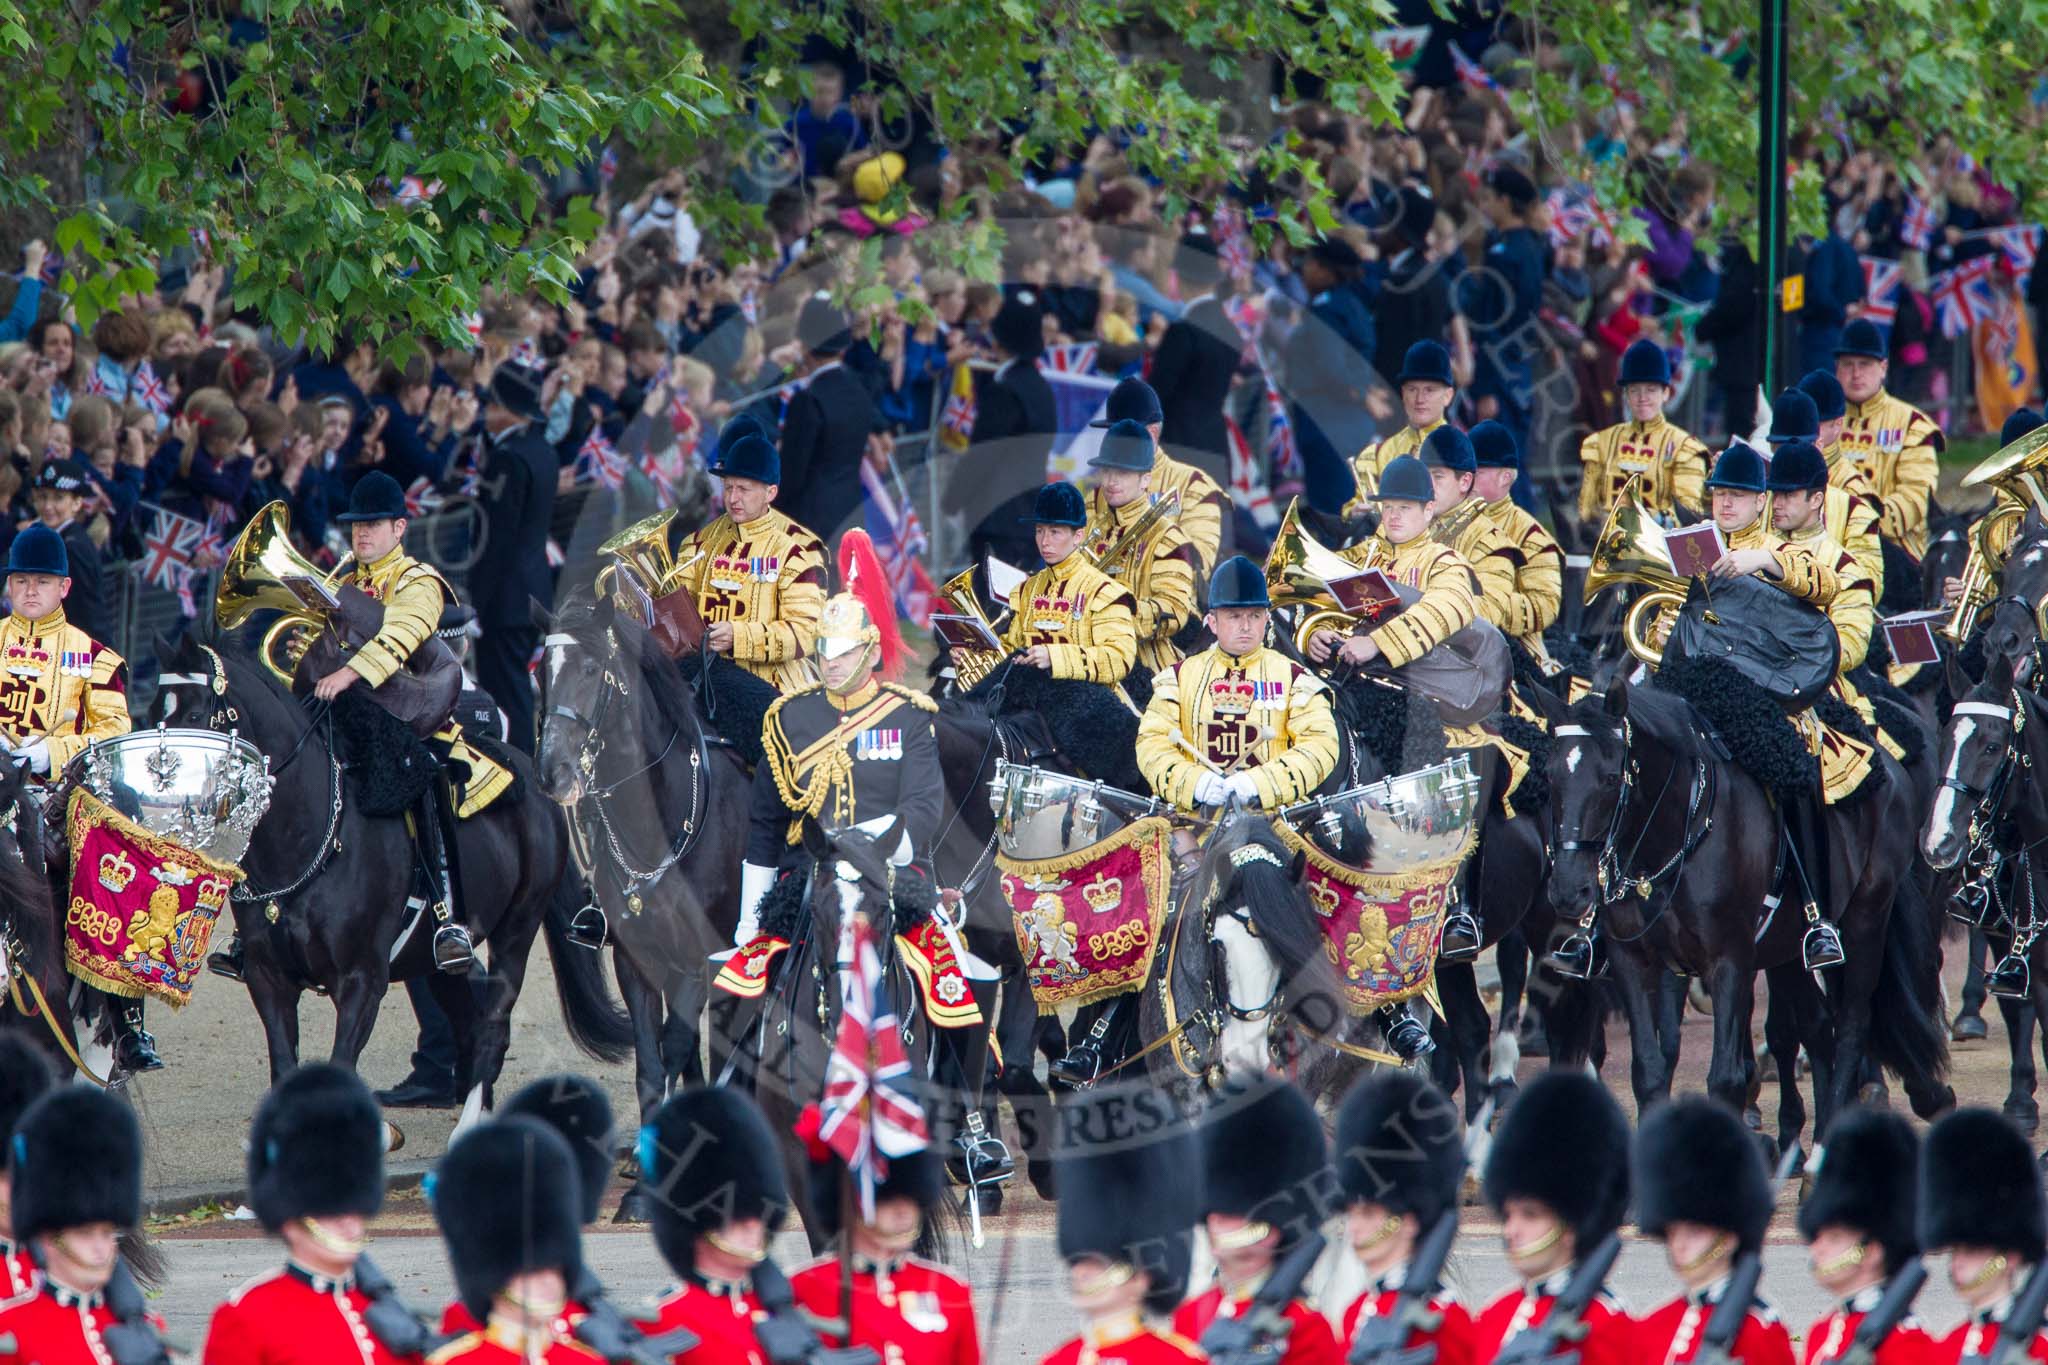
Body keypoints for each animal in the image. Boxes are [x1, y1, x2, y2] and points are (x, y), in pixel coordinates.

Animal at [153, 630, 622, 1113]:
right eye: (153, 714)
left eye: (194, 715)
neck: (308, 839)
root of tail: (530, 766)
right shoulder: (269, 979)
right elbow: (284, 1070)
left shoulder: (361, 982)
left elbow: (340, 1070)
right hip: (436, 960)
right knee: (468, 1020)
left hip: (517, 930)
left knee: (493, 1029)